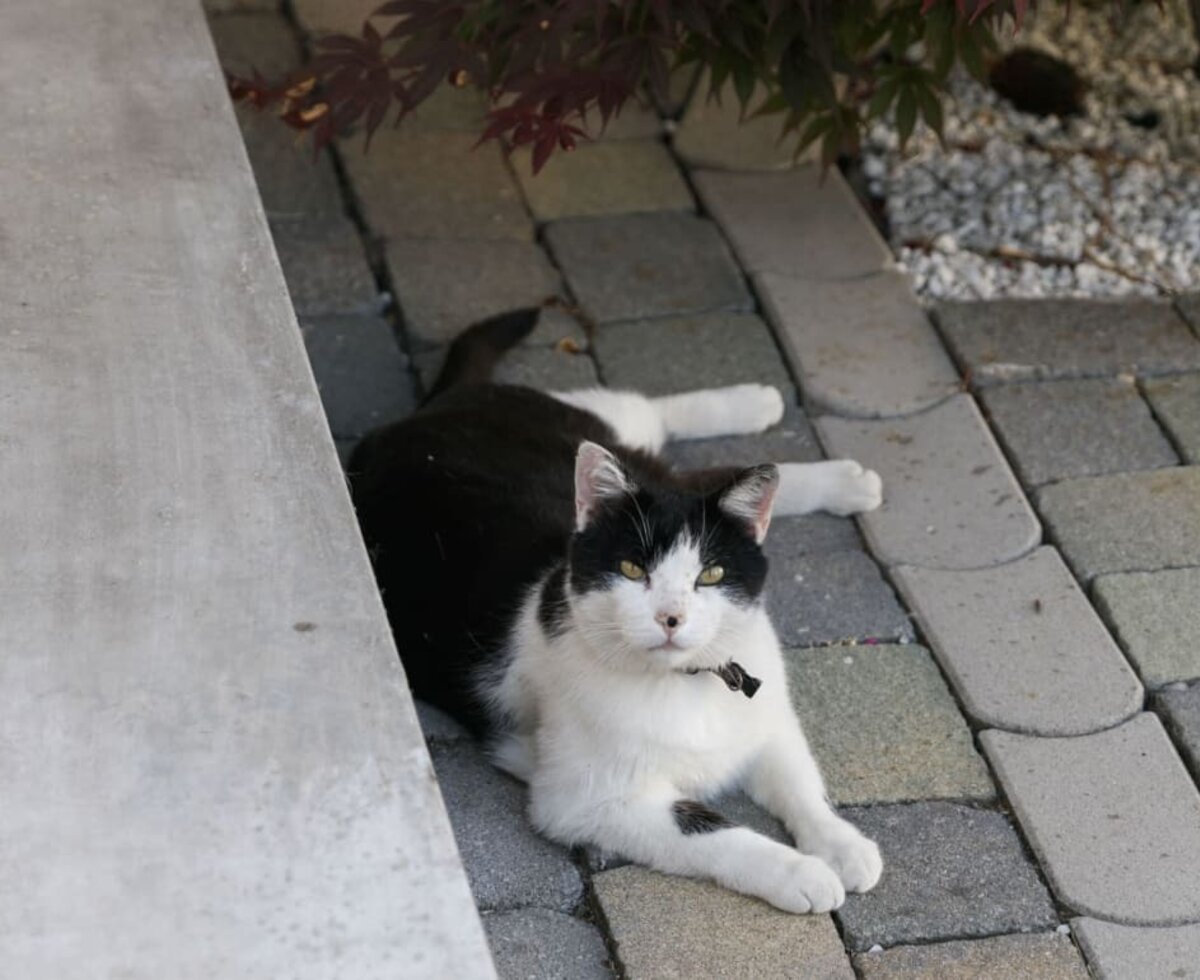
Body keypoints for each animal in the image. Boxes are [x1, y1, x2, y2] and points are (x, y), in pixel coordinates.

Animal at [350, 309, 888, 911]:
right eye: (633, 570)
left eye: (711, 575)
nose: (671, 617)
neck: (689, 683)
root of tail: (427, 411)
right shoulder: (585, 802)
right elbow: (713, 832)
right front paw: (801, 874)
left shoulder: (765, 717)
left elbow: (800, 778)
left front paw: (841, 844)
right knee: (669, 448)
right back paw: (792, 433)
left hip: (609, 438)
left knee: (664, 437)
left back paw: (786, 431)